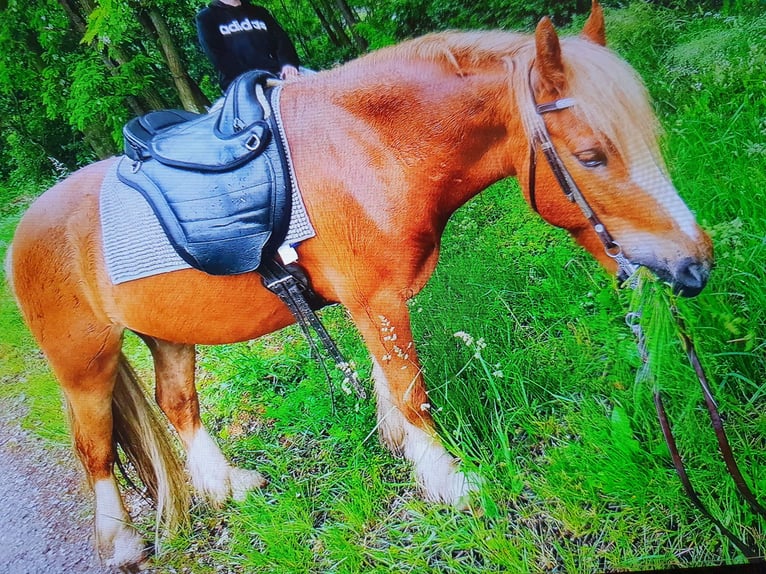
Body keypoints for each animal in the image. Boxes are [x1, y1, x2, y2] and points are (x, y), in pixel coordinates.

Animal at [6, 1, 713, 567]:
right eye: (592, 156)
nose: (693, 267)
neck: (368, 148)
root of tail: (24, 230)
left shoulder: (369, 304)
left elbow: (386, 381)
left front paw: (402, 449)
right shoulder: (376, 300)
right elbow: (411, 390)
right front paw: (449, 481)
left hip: (166, 331)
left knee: (178, 404)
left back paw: (226, 485)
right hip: (83, 359)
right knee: (94, 447)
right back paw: (122, 541)